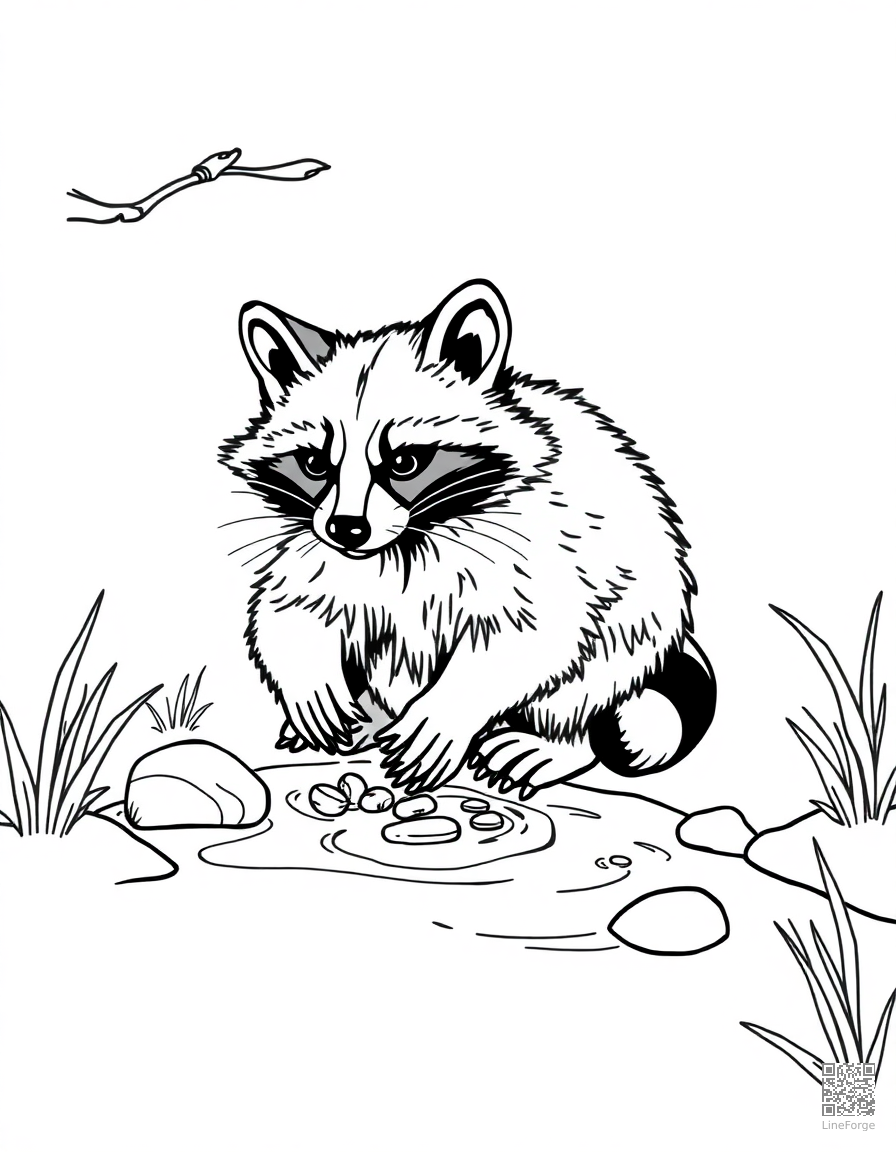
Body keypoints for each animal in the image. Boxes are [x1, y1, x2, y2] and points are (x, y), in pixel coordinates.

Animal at [220, 280, 715, 798]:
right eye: (316, 464)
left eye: (404, 463)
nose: (348, 528)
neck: (409, 536)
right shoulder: (315, 550)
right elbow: (289, 611)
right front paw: (308, 684)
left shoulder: (541, 546)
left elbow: (528, 634)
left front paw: (447, 713)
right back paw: (374, 712)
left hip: (635, 621)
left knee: (585, 674)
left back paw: (557, 741)